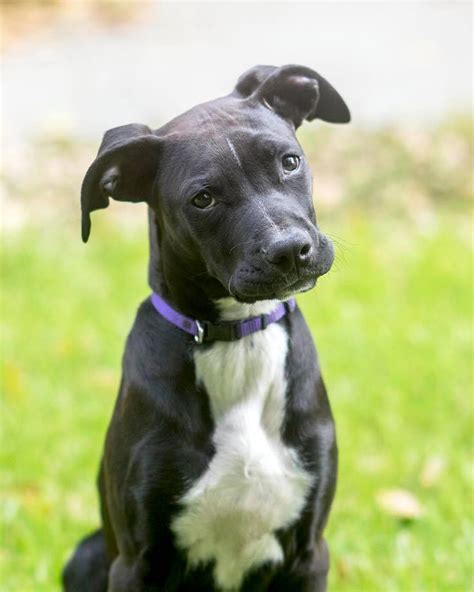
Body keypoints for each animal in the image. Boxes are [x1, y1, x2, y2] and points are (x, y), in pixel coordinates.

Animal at [63, 65, 350, 592]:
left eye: (290, 161)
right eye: (203, 199)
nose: (291, 251)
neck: (237, 342)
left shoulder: (309, 552)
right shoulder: (136, 561)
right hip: (87, 553)